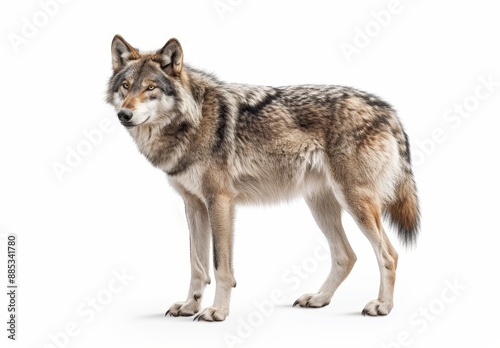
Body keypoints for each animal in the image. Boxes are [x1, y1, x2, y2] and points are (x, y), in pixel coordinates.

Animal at [107, 35, 420, 320]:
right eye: (126, 86)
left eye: (150, 88)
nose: (124, 114)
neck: (192, 121)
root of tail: (387, 110)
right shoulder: (193, 205)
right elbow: (197, 265)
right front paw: (189, 306)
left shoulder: (220, 202)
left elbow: (220, 266)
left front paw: (217, 311)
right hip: (321, 206)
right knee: (346, 256)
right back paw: (319, 299)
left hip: (355, 203)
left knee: (388, 254)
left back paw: (382, 306)